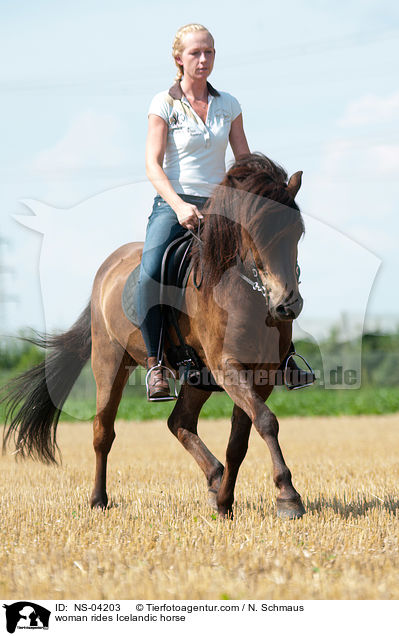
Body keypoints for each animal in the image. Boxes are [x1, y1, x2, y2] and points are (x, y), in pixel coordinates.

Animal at [2, 154, 306, 520]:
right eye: (255, 232)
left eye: (298, 232)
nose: (287, 304)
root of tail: (107, 270)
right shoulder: (227, 367)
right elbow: (265, 420)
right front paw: (288, 496)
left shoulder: (261, 373)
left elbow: (241, 438)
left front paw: (226, 502)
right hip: (109, 365)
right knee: (103, 432)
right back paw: (99, 499)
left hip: (197, 377)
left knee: (179, 422)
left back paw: (215, 480)